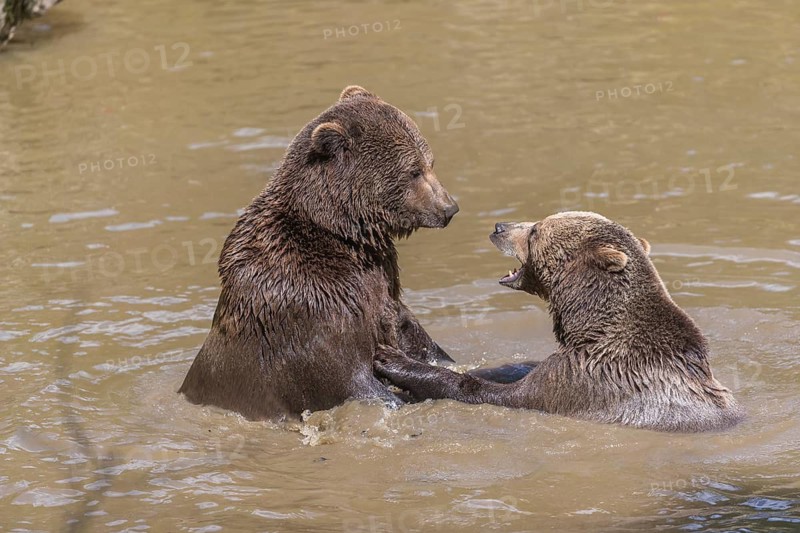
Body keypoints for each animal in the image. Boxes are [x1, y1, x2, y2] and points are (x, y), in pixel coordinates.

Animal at [178, 85, 459, 420]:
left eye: (431, 162)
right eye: (414, 171)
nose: (449, 208)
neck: (345, 235)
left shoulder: (381, 284)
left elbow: (412, 335)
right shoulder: (310, 306)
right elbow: (347, 374)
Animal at [374, 211, 745, 432]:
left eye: (535, 231)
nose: (499, 226)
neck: (591, 324)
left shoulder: (587, 379)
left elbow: (501, 394)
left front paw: (392, 360)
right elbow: (520, 368)